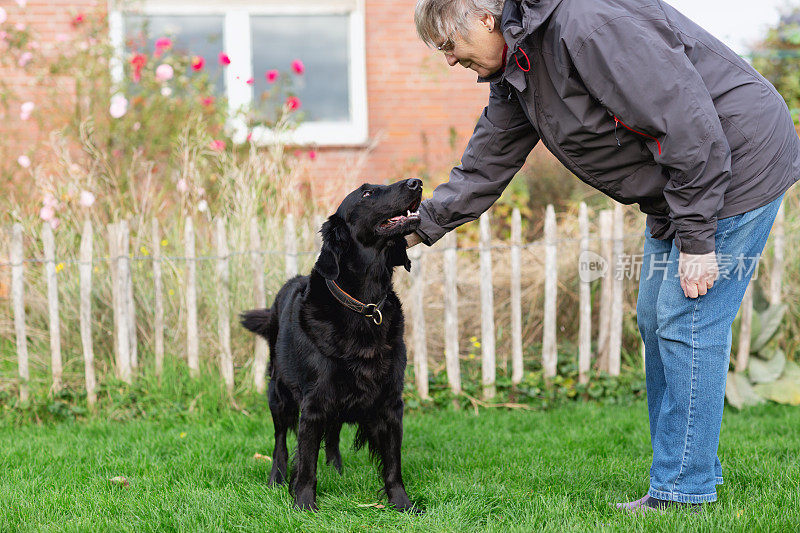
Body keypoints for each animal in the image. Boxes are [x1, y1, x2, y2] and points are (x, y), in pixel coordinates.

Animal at [239, 178, 422, 512]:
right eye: (366, 193)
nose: (417, 183)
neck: (364, 306)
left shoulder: (391, 402)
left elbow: (393, 463)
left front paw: (402, 503)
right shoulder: (313, 403)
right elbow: (306, 462)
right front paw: (303, 504)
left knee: (333, 434)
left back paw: (336, 470)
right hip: (278, 393)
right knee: (280, 441)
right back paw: (276, 477)